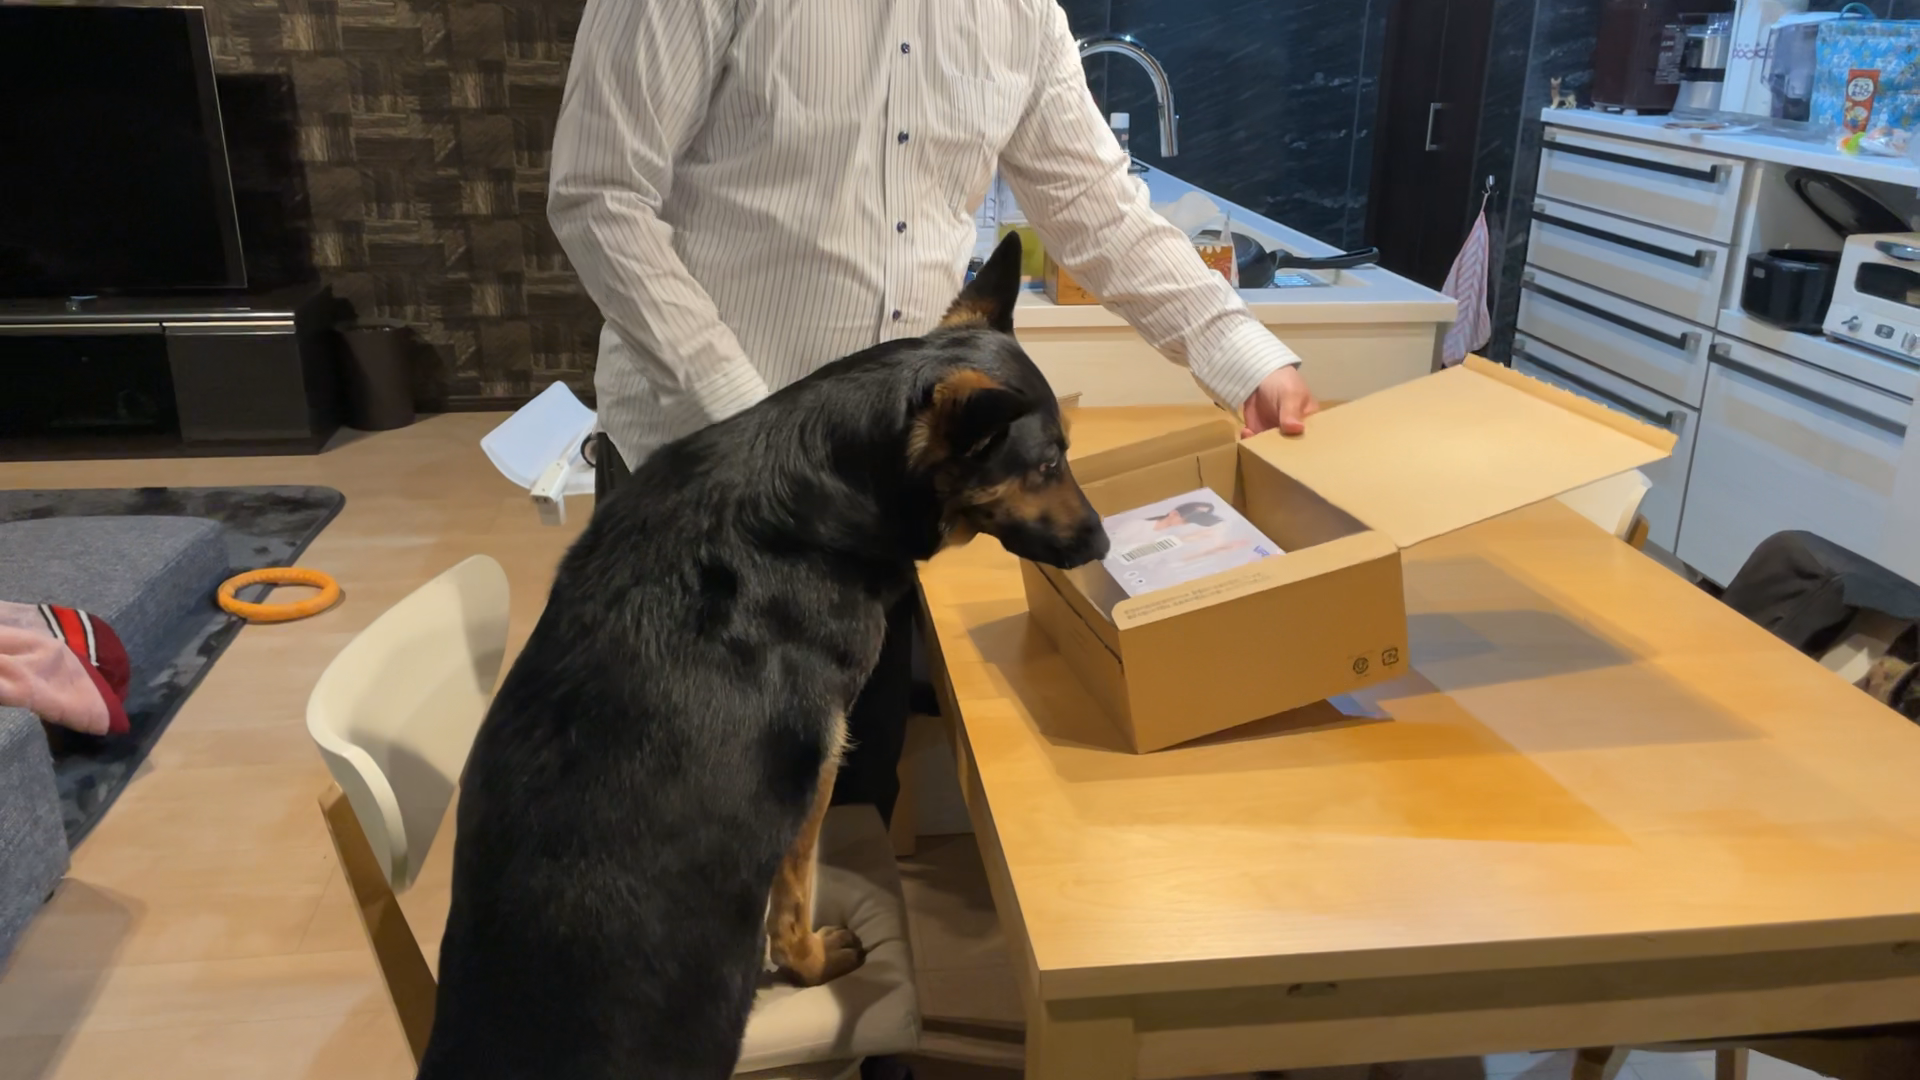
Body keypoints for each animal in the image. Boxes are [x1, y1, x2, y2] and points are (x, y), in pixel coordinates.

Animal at [417, 232, 1108, 1080]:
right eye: (1046, 466)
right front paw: (810, 962)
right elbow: (792, 900)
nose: (1103, 544)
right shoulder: (816, 779)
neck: (832, 483)